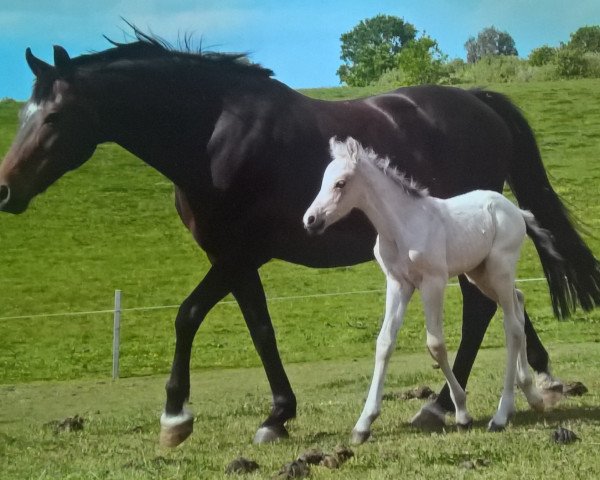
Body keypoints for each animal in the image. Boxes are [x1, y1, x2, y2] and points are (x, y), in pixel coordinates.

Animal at [304, 137, 556, 444]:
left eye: (340, 183)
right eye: (323, 180)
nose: (310, 220)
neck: (402, 226)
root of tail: (515, 210)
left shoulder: (433, 282)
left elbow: (435, 344)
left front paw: (461, 414)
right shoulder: (398, 284)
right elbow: (384, 342)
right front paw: (363, 424)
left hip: (500, 270)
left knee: (513, 327)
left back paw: (501, 415)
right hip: (480, 274)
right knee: (518, 304)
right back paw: (532, 396)